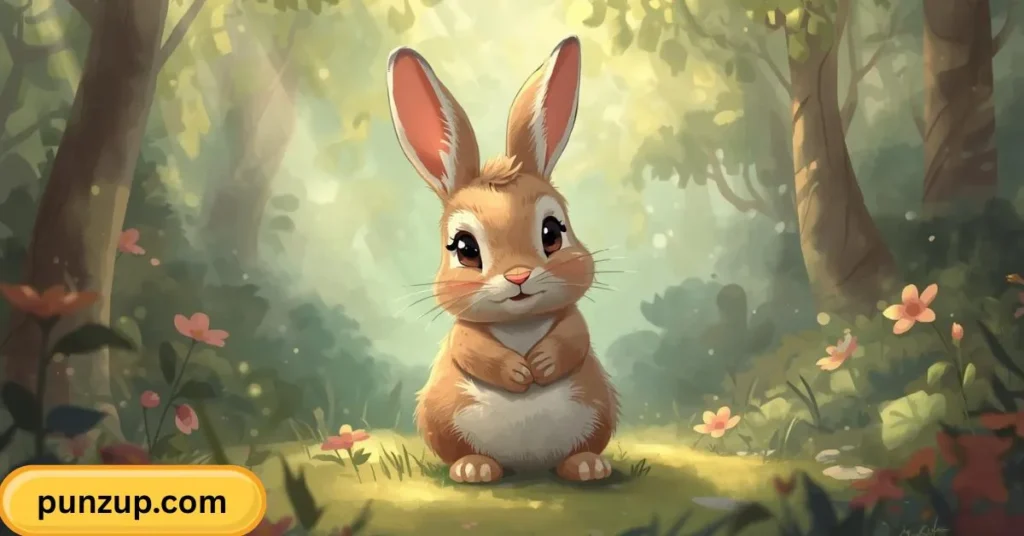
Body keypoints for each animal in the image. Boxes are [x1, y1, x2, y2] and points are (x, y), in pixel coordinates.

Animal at [385, 35, 620, 484]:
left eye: (553, 232)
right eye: (464, 248)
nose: (519, 276)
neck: (520, 324)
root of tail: (528, 467)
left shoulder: (571, 321)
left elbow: (573, 339)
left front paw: (541, 364)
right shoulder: (464, 335)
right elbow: (472, 350)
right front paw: (518, 373)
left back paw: (586, 466)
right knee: (469, 455)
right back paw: (475, 468)